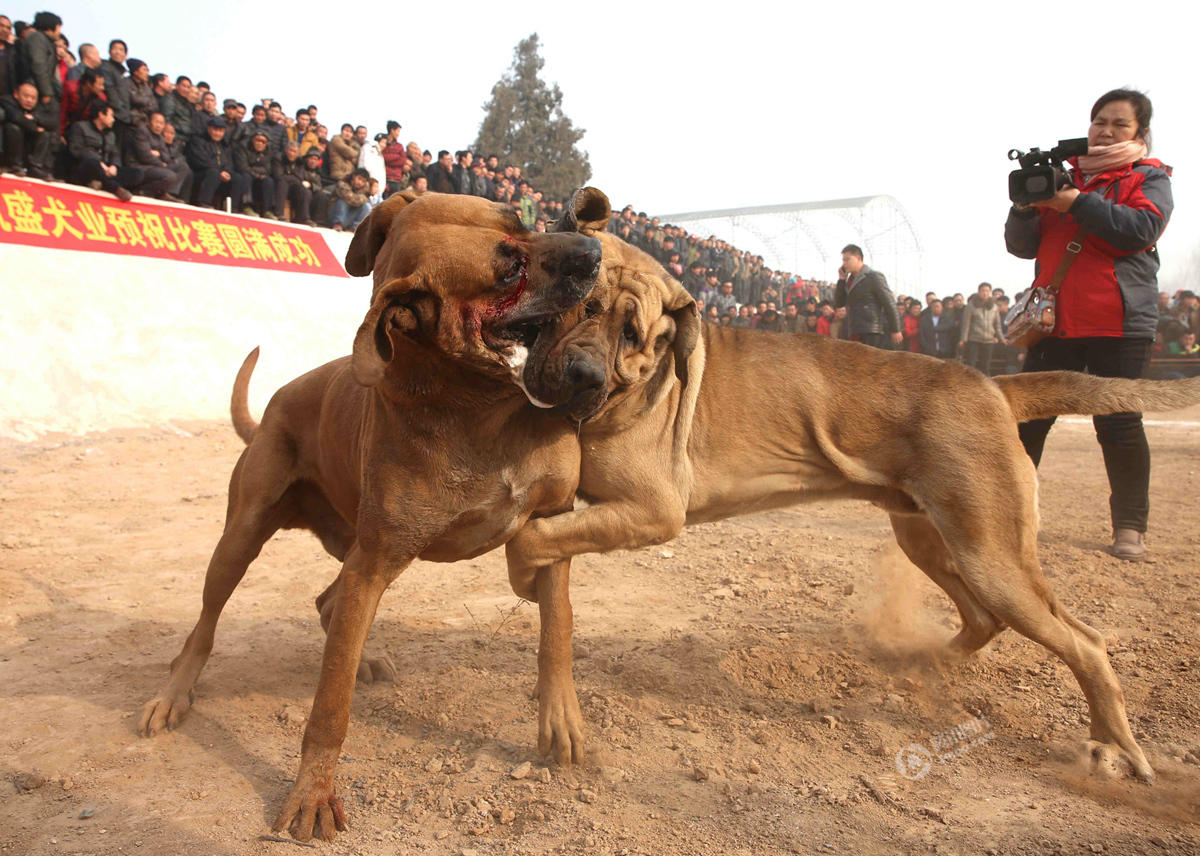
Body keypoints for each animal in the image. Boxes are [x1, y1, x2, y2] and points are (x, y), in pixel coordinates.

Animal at [138, 190, 609, 840]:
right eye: (506, 268)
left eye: (518, 220)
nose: (594, 248)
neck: (478, 404)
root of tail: (278, 401)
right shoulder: (372, 564)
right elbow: (329, 706)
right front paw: (312, 791)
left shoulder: (550, 523)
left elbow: (557, 626)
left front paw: (560, 719)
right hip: (246, 538)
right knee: (207, 624)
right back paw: (174, 692)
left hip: (360, 547)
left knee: (328, 604)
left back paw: (362, 655)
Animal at [504, 187, 1200, 782]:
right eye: (580, 306)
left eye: (632, 333)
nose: (584, 375)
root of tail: (993, 383)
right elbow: (545, 540)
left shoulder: (654, 510)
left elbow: (531, 539)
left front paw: (523, 578)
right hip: (936, 538)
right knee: (992, 619)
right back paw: (930, 662)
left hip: (992, 553)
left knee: (1085, 644)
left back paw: (1116, 747)